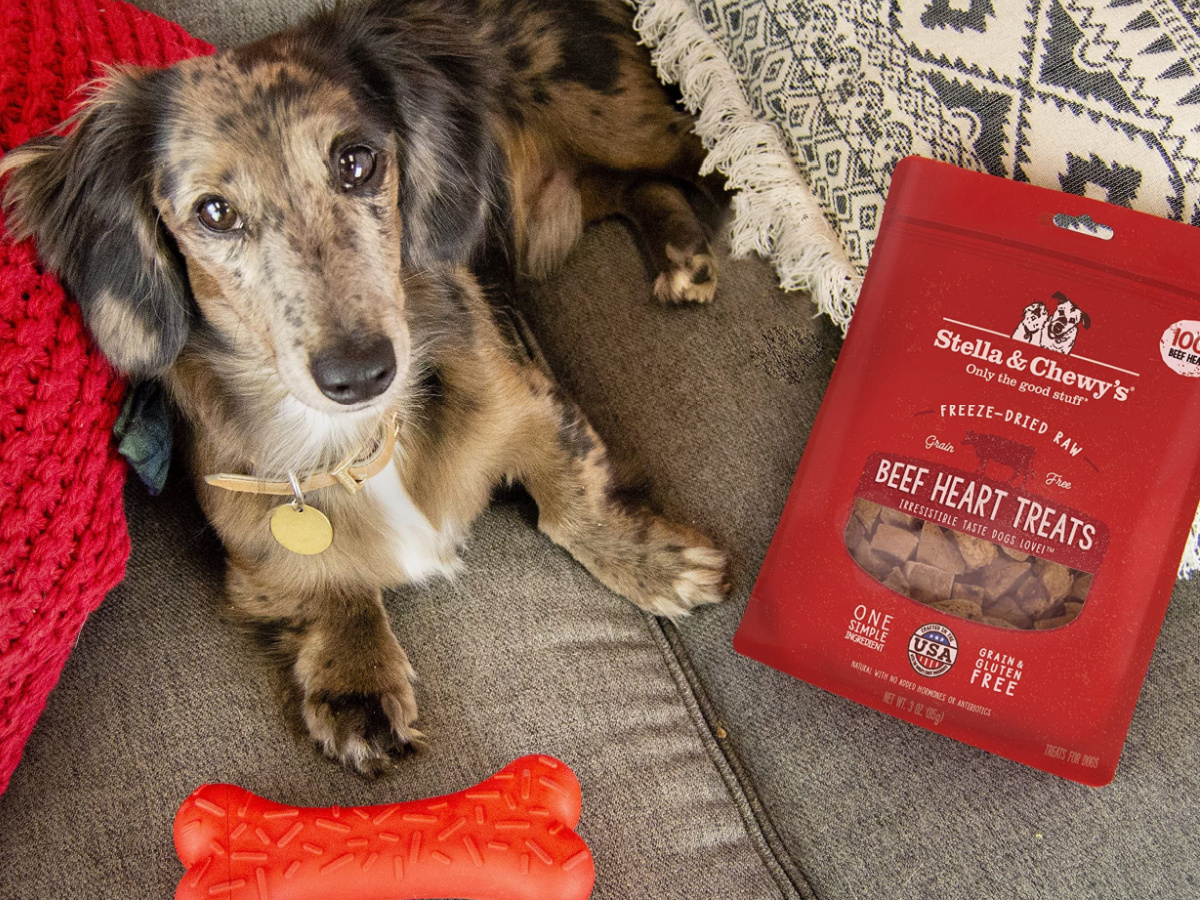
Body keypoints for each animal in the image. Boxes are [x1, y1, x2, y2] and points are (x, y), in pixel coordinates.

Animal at [0, 0, 724, 777]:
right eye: (214, 213)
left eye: (356, 162)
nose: (361, 373)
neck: (357, 440)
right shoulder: (240, 512)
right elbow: (316, 582)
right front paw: (356, 679)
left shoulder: (532, 400)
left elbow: (575, 501)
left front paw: (654, 563)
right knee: (626, 189)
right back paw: (681, 251)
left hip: (618, 124)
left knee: (693, 158)